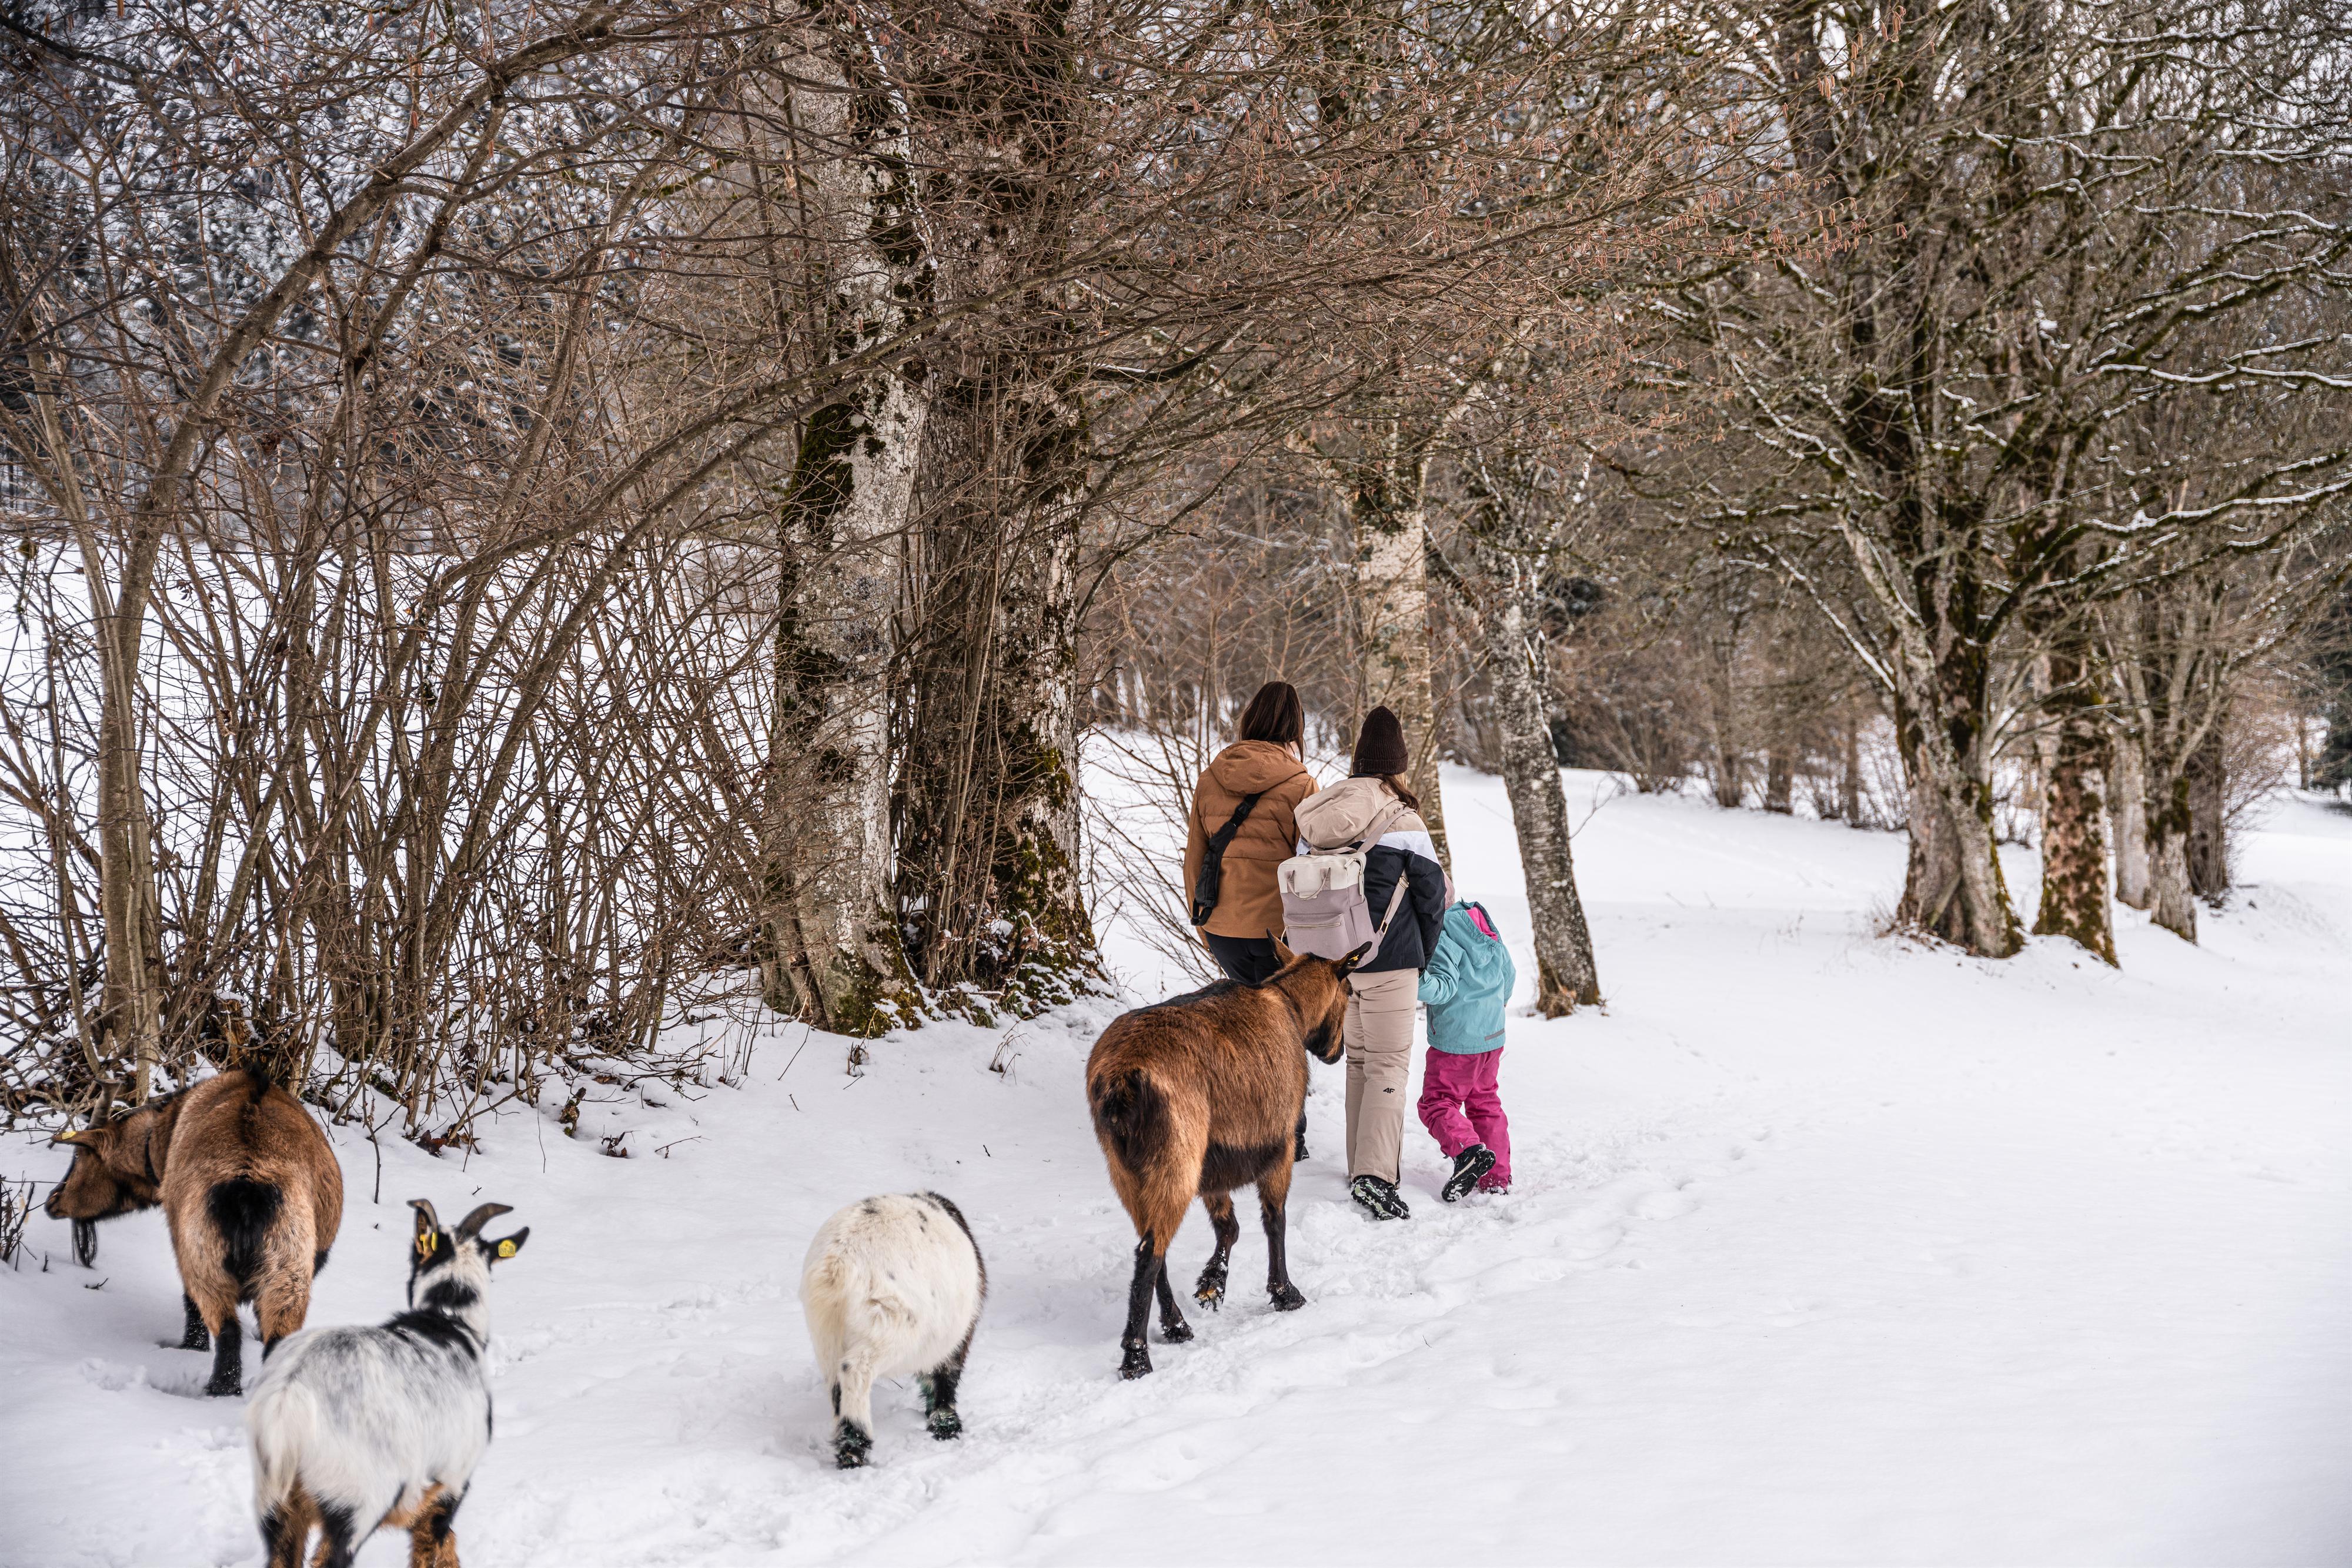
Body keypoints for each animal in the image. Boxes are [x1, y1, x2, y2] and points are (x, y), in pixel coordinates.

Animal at [47, 1067, 344, 1395]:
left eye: (79, 1156)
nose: (53, 1202)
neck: (164, 1132)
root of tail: (248, 1184)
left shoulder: (182, 1244)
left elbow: (191, 1303)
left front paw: (191, 1347)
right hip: (287, 1269)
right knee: (277, 1336)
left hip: (204, 1257)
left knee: (225, 1327)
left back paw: (218, 1388)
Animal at [247, 1198, 528, 1568]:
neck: (449, 1318)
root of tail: (289, 1397)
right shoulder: (452, 1480)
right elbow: (431, 1546)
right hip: (357, 1498)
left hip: (276, 1500)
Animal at [802, 1191, 986, 1468]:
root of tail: (838, 1261)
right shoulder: (953, 1338)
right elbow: (943, 1376)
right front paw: (946, 1425)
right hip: (891, 1324)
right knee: (854, 1370)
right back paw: (856, 1447)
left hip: (826, 1334)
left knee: (837, 1386)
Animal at [1085, 943, 1362, 1379]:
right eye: (1350, 991)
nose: (1338, 1051)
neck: (1288, 1004)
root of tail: (1122, 1079)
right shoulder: (1281, 1145)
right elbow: (1275, 1220)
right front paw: (1285, 1294)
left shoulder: (1213, 1166)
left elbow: (1228, 1227)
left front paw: (1212, 1283)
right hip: (1175, 1159)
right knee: (1150, 1253)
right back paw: (1137, 1357)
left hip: (1127, 1169)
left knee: (1152, 1246)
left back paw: (1177, 1325)